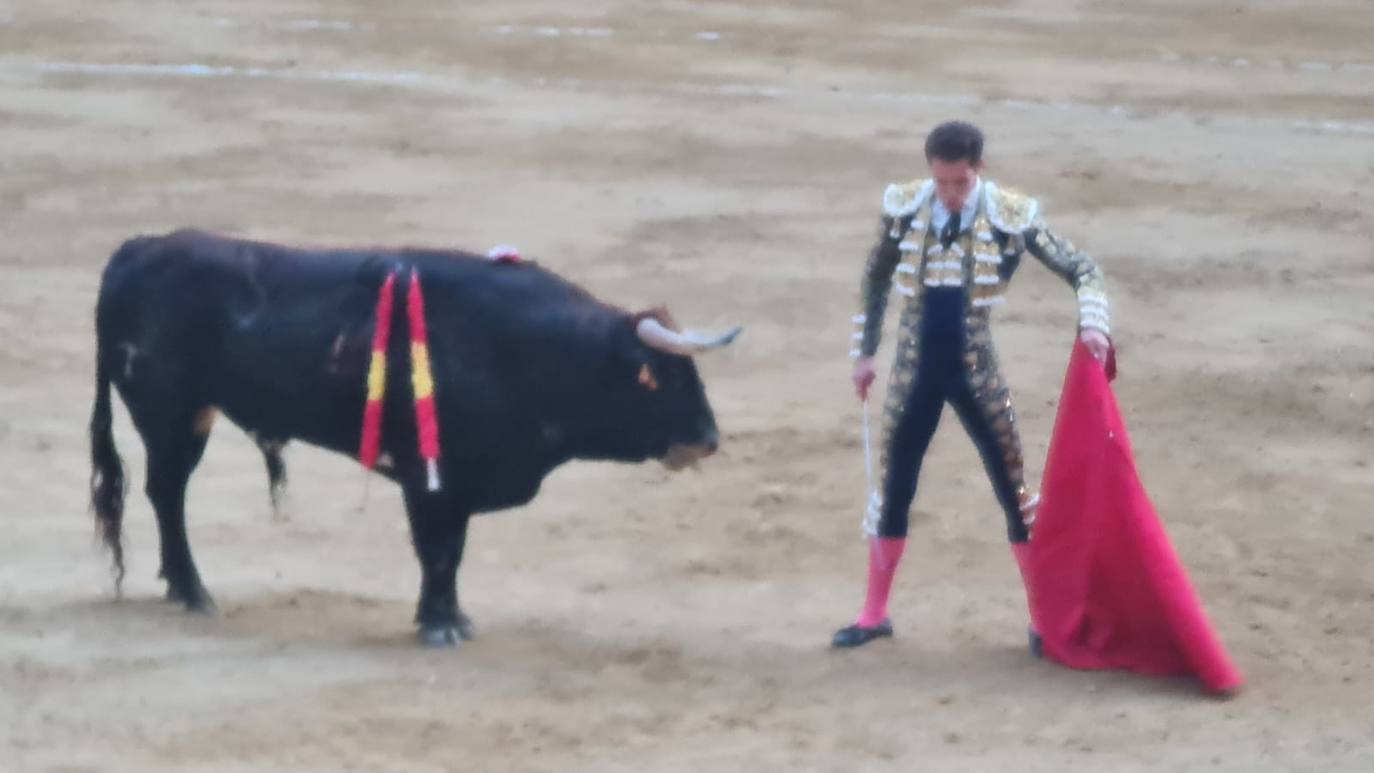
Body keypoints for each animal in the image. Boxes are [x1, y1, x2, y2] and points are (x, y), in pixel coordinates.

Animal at [87, 229, 741, 648]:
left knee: (164, 493)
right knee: (168, 494)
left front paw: (455, 618)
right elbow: (438, 551)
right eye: (661, 380)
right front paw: (438, 625)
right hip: (170, 416)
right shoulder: (431, 479)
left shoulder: (460, 484)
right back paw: (194, 592)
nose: (709, 440)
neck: (527, 351)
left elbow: (454, 552)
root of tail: (134, 250)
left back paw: (182, 589)